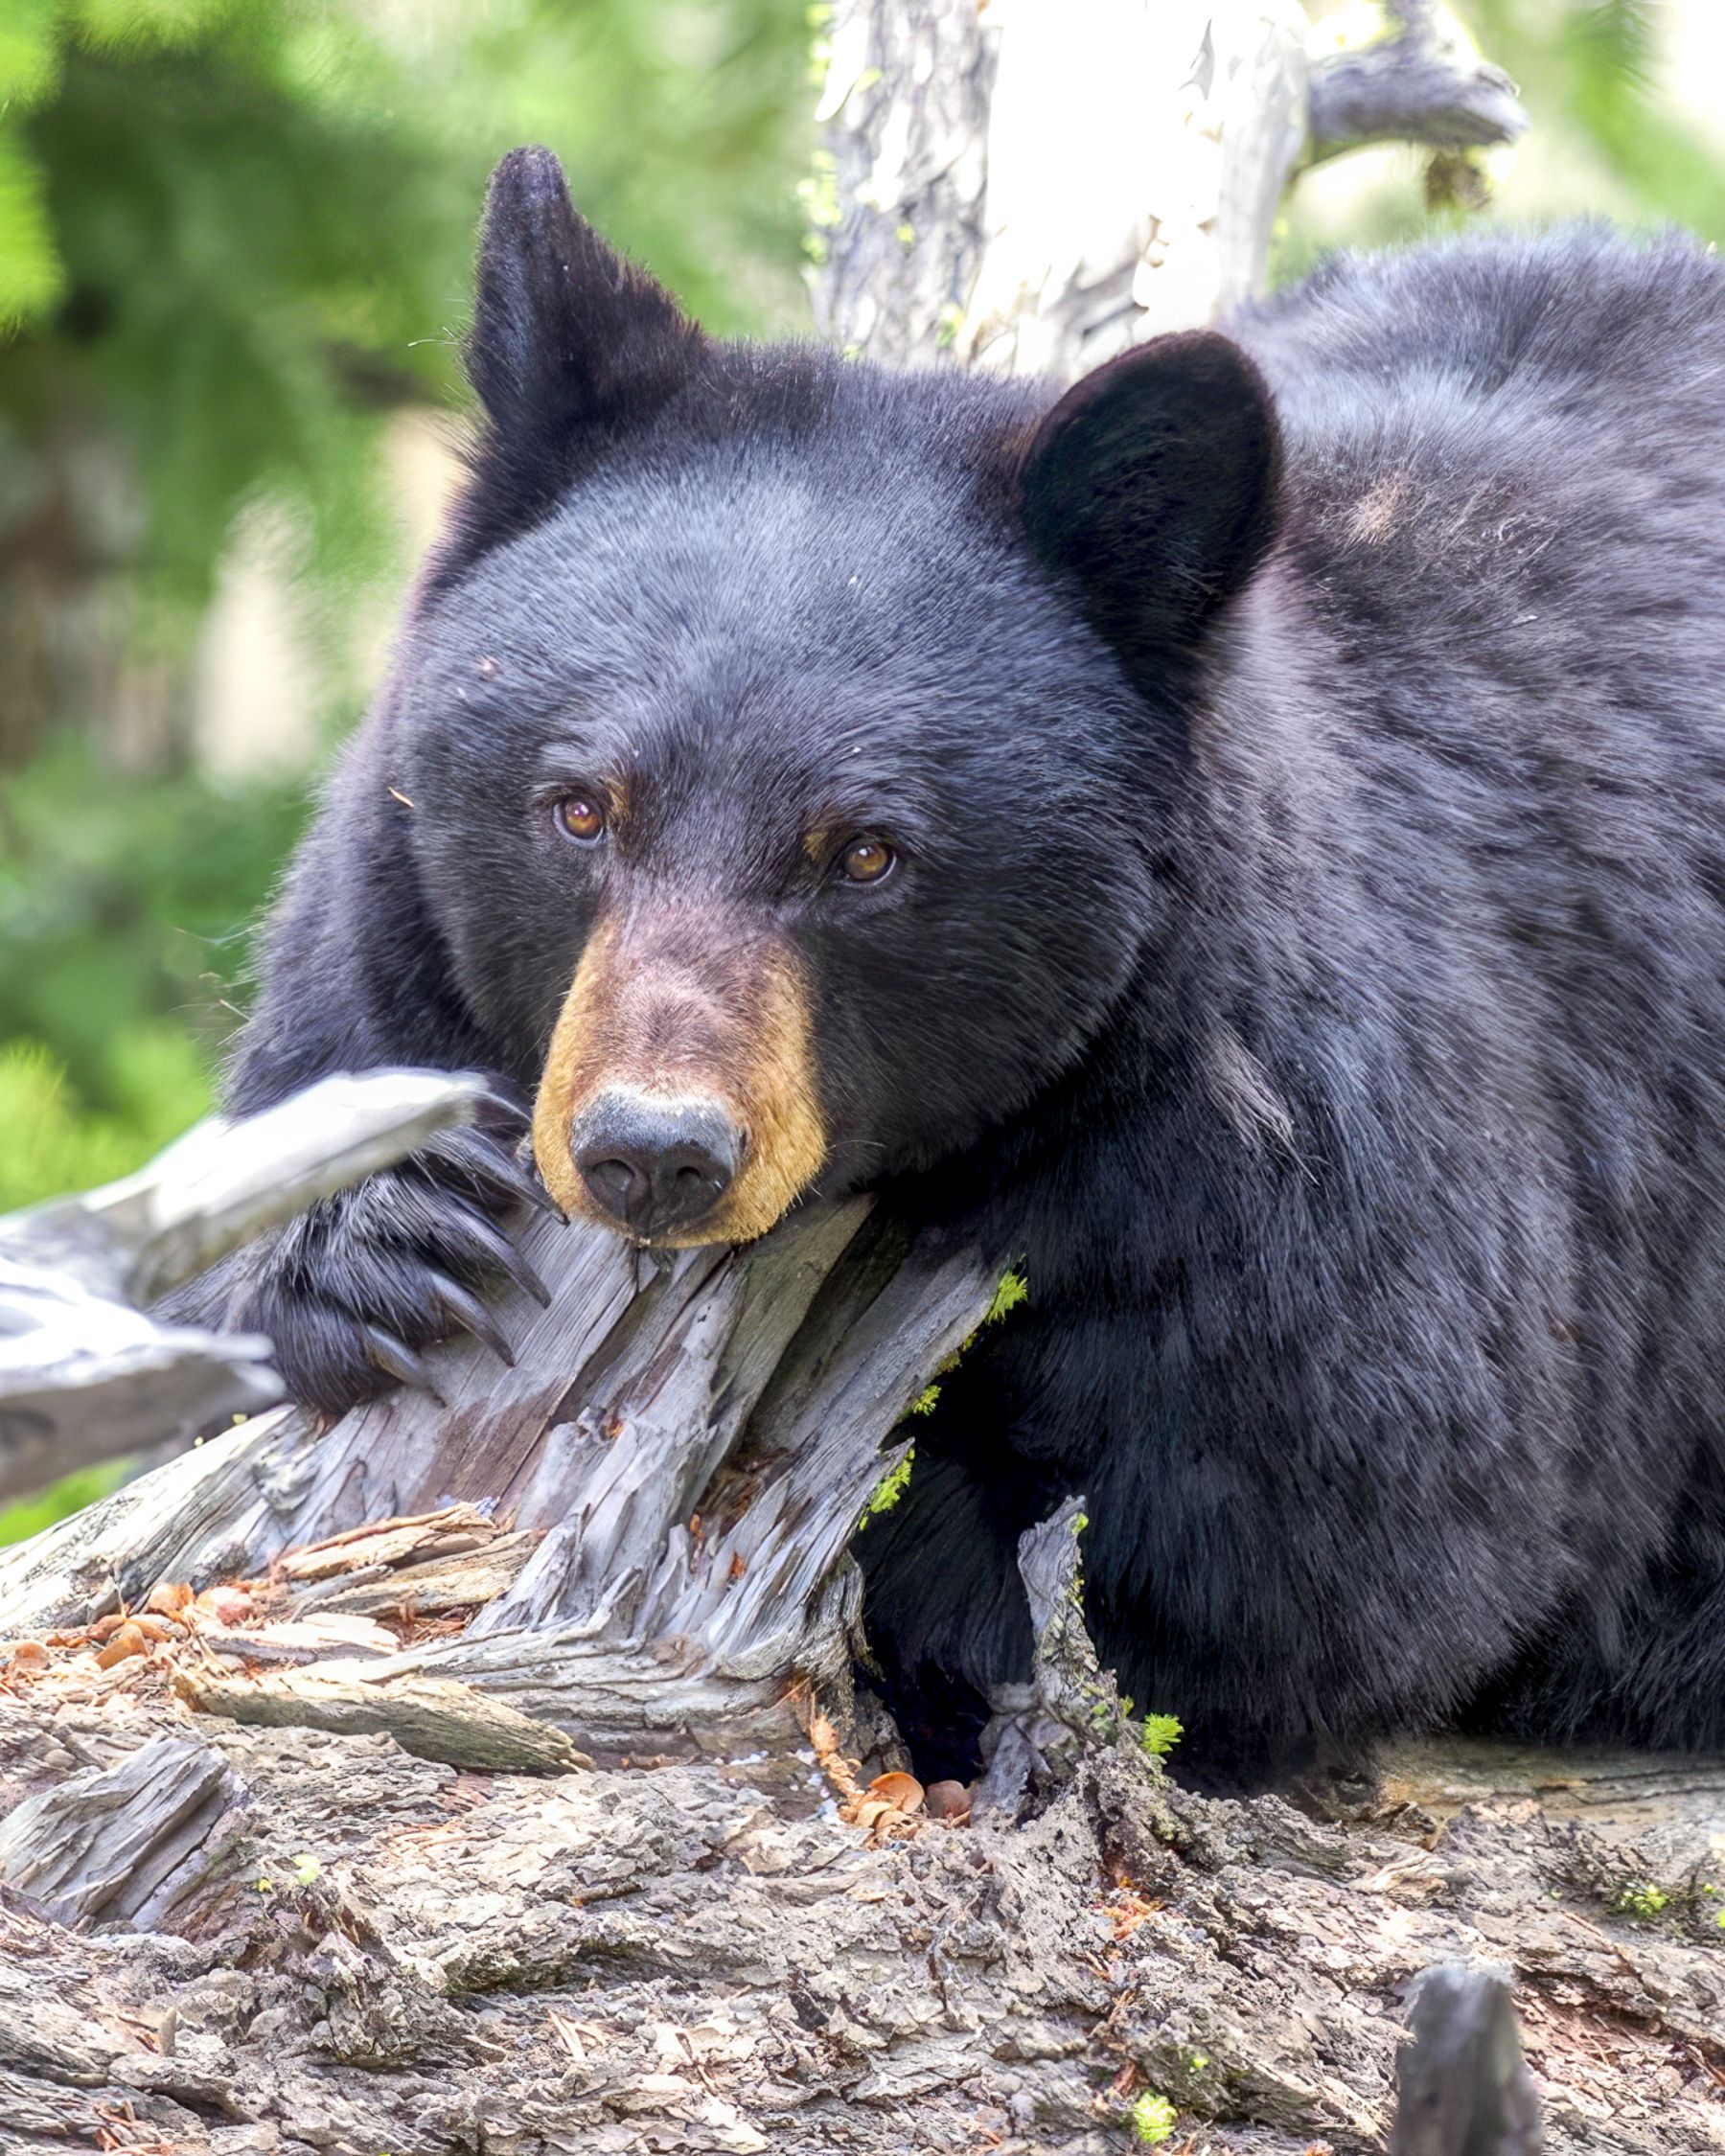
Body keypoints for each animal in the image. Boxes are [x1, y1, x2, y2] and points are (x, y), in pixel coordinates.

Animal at [188, 146, 1725, 1791]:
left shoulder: (1315, 1136)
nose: (653, 1151)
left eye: (864, 853)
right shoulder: (379, 942)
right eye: (581, 807)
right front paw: (374, 1239)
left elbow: (1321, 1544)